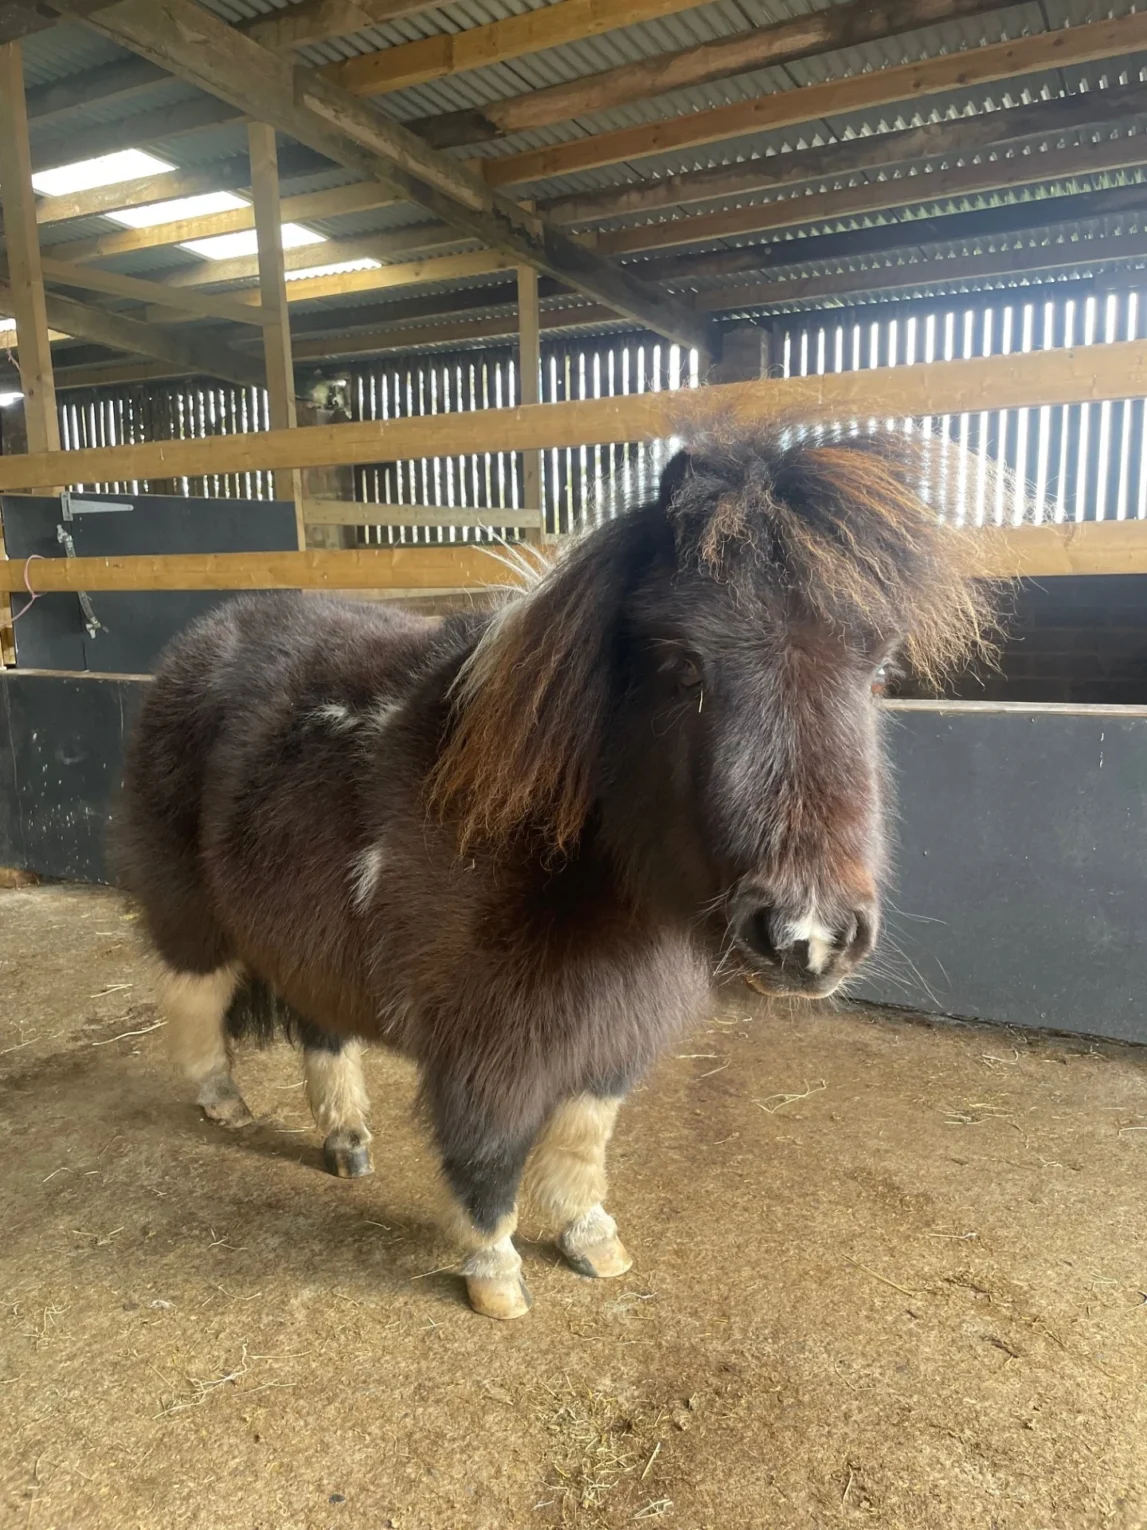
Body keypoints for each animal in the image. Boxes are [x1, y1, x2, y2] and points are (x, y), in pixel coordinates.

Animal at [113, 420, 991, 1320]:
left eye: (879, 671)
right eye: (684, 664)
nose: (807, 938)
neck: (530, 841)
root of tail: (197, 646)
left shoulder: (605, 1038)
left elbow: (578, 1142)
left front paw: (590, 1239)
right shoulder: (489, 1050)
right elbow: (490, 1154)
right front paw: (495, 1273)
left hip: (309, 939)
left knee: (322, 1029)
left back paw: (347, 1141)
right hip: (194, 916)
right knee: (193, 997)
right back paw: (223, 1103)